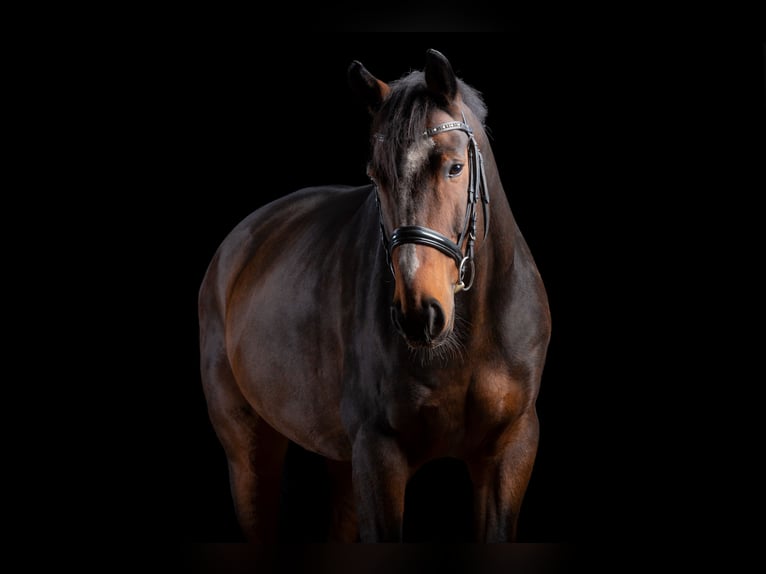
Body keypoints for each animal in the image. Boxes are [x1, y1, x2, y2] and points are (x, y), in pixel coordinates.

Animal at [198, 48, 551, 542]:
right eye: (376, 177)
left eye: (455, 166)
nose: (419, 314)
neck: (469, 336)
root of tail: (239, 242)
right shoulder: (379, 455)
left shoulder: (511, 449)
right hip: (248, 449)